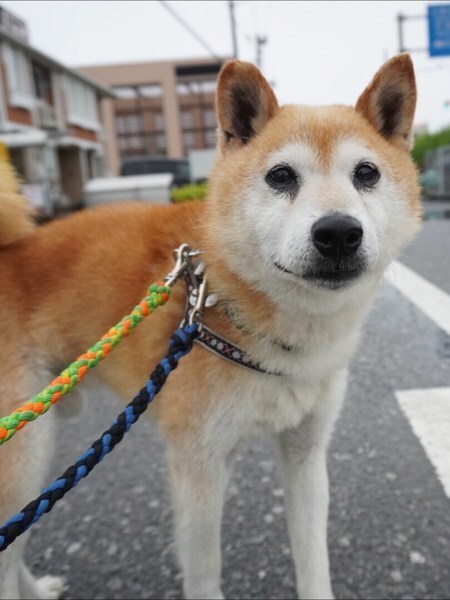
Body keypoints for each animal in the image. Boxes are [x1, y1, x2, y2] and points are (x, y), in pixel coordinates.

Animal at [0, 54, 421, 599]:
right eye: (281, 176)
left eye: (366, 173)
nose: (338, 232)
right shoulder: (197, 465)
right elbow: (204, 572)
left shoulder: (306, 453)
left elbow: (313, 561)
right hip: (24, 456)